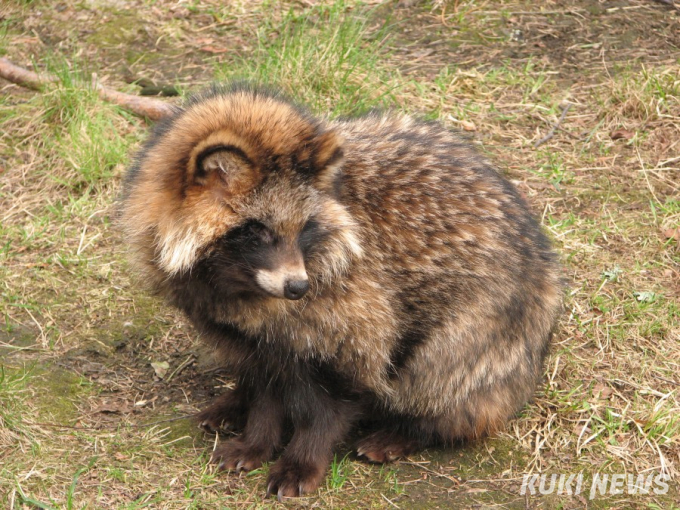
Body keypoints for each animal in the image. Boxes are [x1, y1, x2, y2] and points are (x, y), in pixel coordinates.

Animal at [121, 85, 564, 500]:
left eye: (304, 227)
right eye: (257, 230)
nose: (298, 287)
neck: (234, 281)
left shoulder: (359, 311)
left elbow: (336, 397)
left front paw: (302, 457)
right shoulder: (245, 329)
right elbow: (265, 386)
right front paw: (257, 437)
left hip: (481, 332)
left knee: (438, 378)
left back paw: (413, 429)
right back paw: (237, 400)